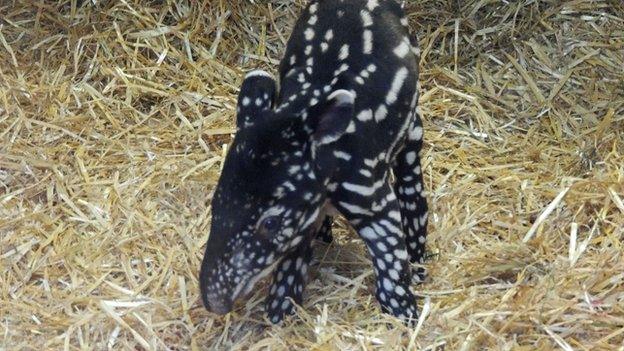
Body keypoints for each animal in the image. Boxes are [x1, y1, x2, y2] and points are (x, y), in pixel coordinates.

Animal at [199, 0, 424, 324]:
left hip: (411, 126)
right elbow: (289, 273)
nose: (214, 302)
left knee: (411, 178)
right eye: (215, 205)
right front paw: (279, 316)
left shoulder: (370, 197)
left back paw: (419, 260)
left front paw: (405, 315)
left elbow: (391, 257)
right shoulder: (303, 216)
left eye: (270, 222)